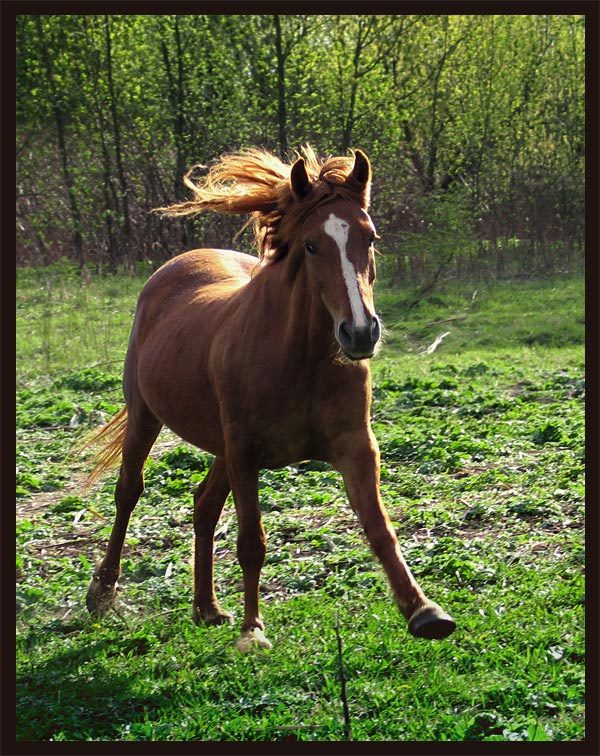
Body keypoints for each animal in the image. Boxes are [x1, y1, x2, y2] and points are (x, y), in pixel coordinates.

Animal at [84, 146, 455, 650]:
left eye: (370, 237)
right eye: (312, 245)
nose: (360, 332)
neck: (299, 357)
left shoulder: (356, 445)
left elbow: (380, 528)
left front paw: (424, 611)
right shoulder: (244, 451)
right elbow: (251, 542)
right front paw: (253, 631)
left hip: (219, 445)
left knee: (203, 505)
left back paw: (207, 607)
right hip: (148, 417)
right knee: (128, 492)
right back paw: (102, 593)